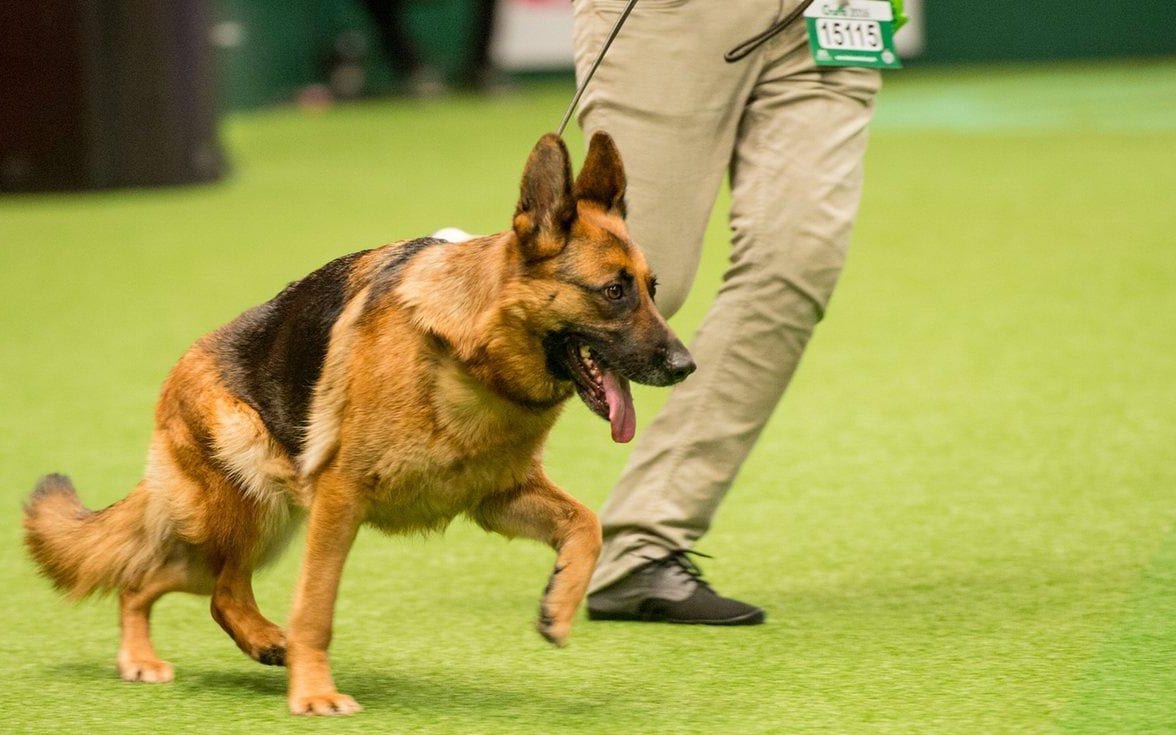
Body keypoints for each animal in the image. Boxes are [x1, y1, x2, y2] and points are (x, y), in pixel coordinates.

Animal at [22, 131, 691, 710]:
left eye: (653, 289)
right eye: (614, 292)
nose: (686, 365)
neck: (470, 358)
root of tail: (183, 366)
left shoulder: (496, 498)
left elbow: (588, 524)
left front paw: (560, 603)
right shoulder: (340, 501)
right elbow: (316, 608)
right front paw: (315, 694)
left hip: (255, 522)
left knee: (174, 580)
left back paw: (231, 645)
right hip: (248, 502)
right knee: (189, 583)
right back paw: (184, 653)